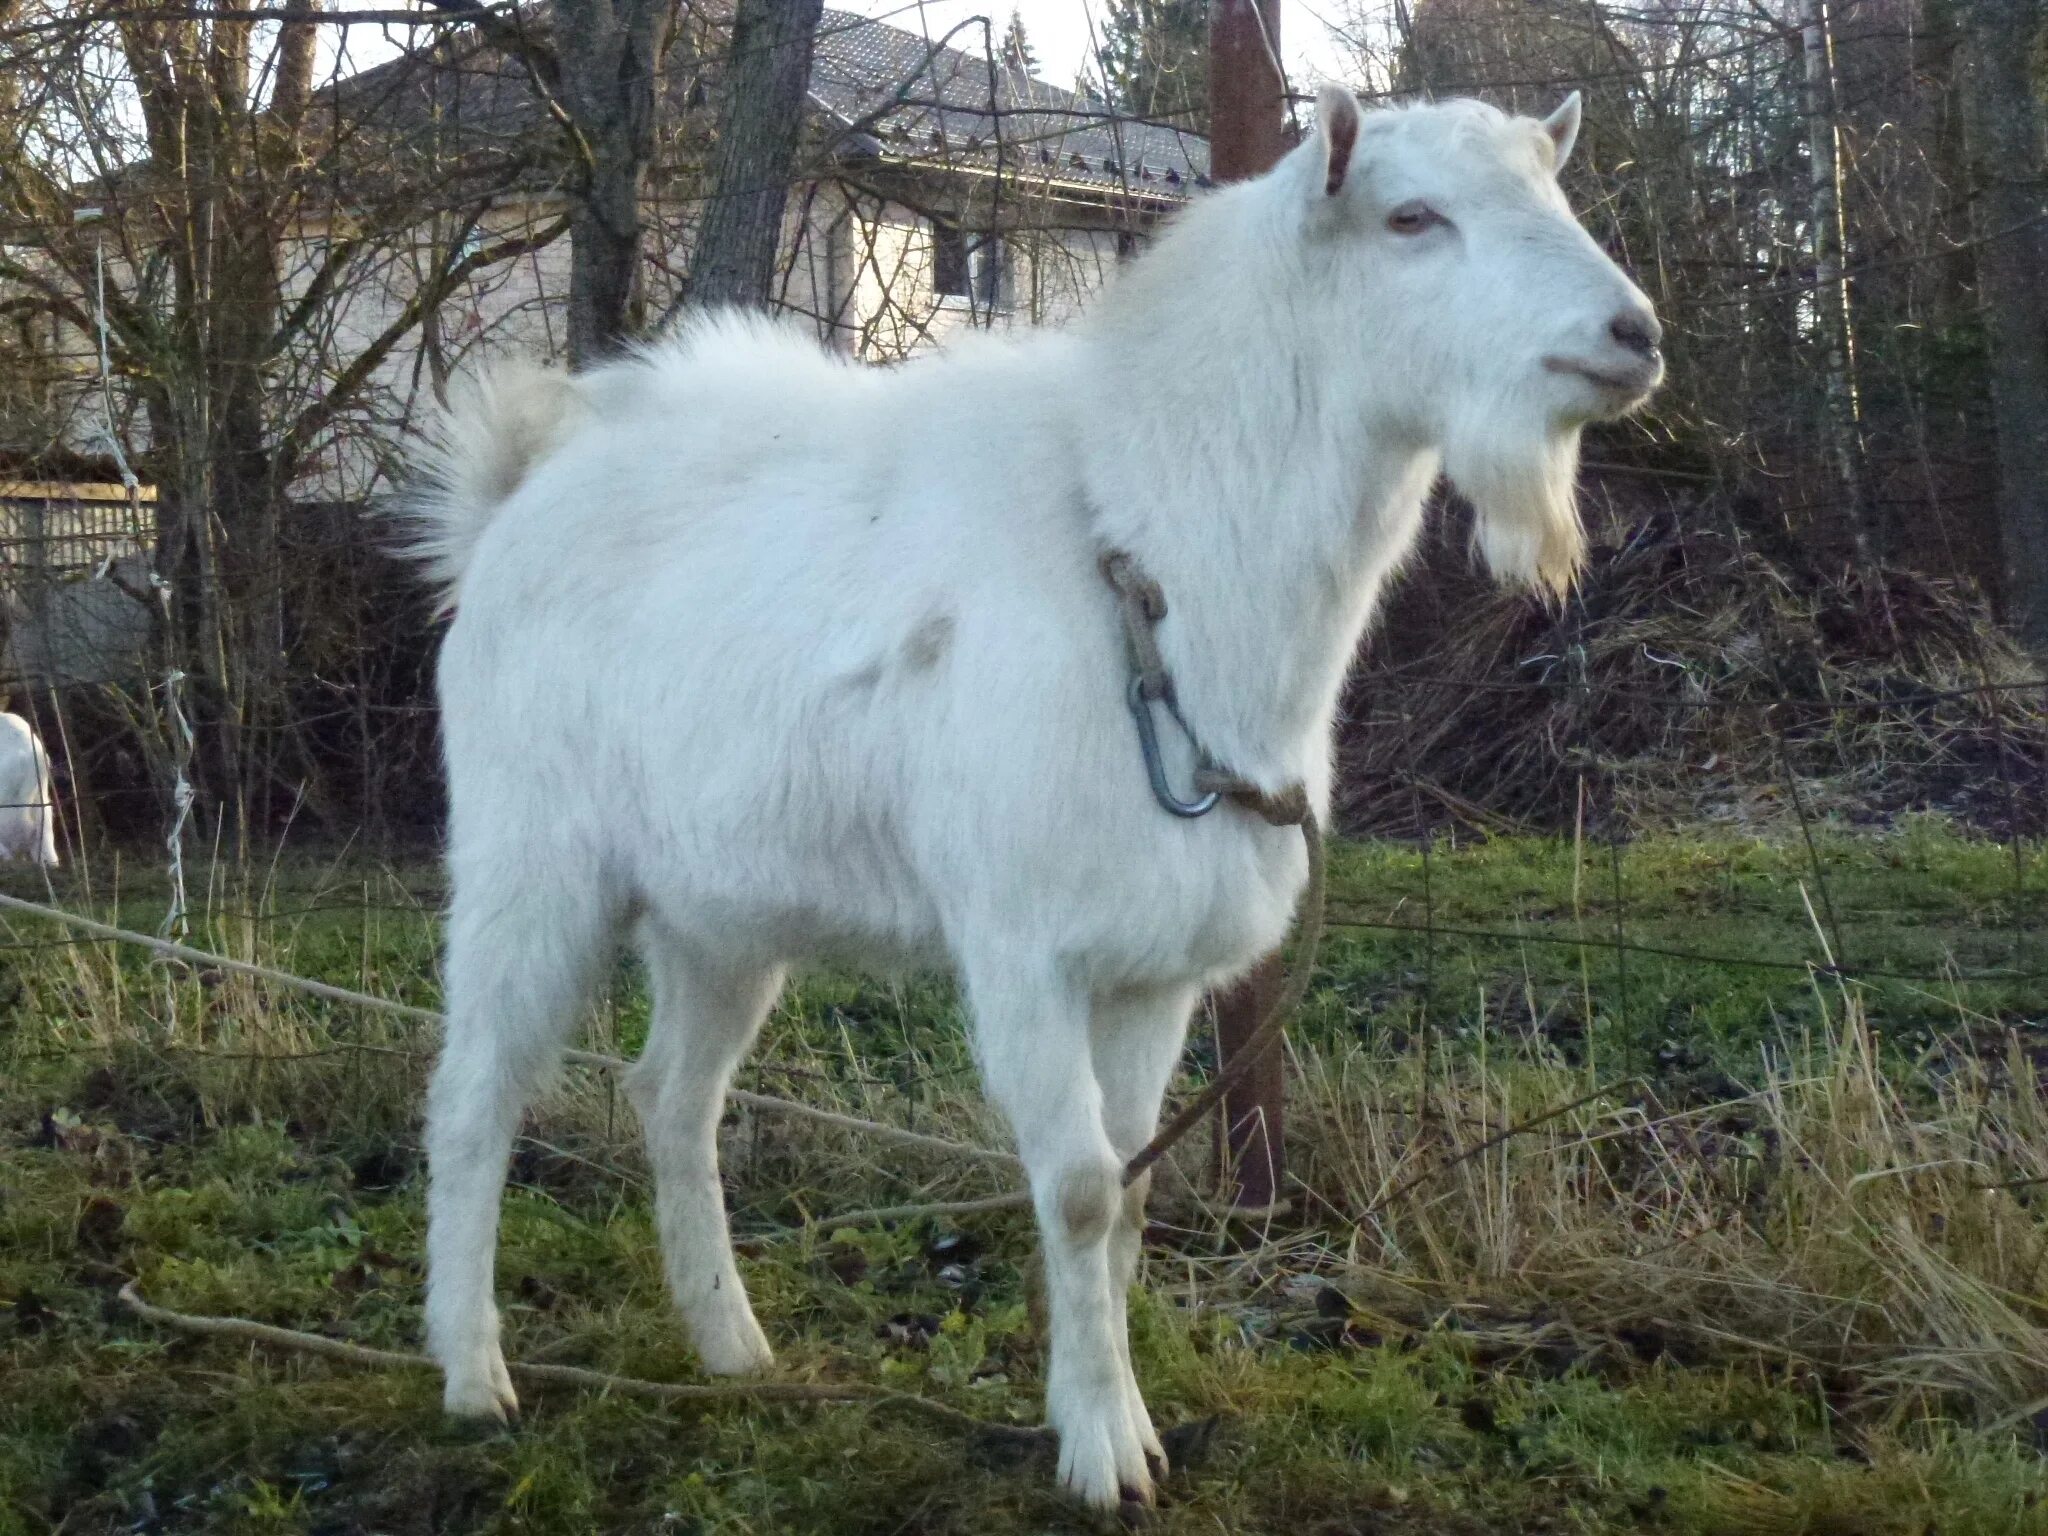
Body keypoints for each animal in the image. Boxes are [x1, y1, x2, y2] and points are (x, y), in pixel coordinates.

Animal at [411, 90, 1662, 1507]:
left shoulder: (1152, 973)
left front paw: (1125, 1419)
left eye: (1549, 192)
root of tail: (511, 505)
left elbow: (1126, 1195)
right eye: (1410, 218)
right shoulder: (1021, 950)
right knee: (474, 1097)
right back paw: (473, 1374)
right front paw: (1099, 1452)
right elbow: (1074, 1189)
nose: (1630, 336)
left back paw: (731, 1346)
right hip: (527, 858)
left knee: (671, 1099)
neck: (1153, 560)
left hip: (716, 914)